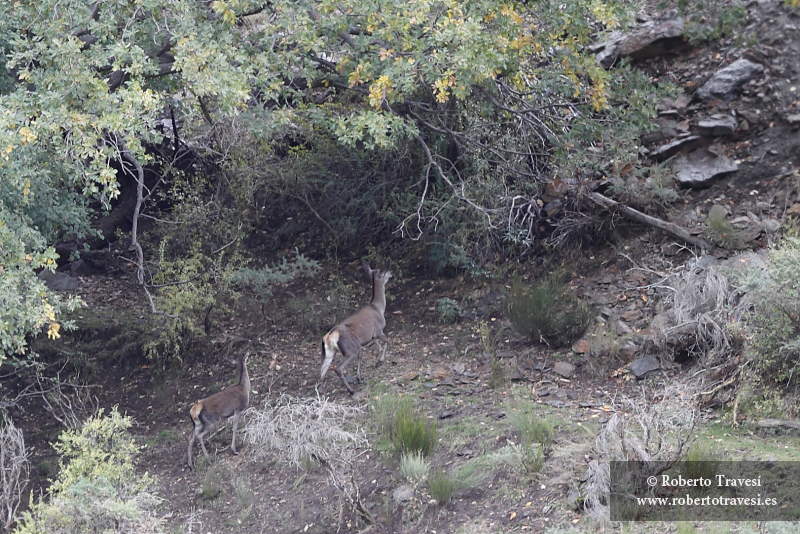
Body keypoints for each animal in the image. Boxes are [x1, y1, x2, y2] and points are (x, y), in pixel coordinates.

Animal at [320, 262, 392, 396]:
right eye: (384, 273)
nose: (391, 273)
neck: (378, 308)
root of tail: (330, 336)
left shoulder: (362, 343)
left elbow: (361, 355)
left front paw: (359, 378)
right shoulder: (377, 331)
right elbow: (388, 340)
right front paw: (380, 361)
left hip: (329, 351)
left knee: (322, 370)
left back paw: (320, 392)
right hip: (350, 349)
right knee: (338, 368)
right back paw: (351, 390)